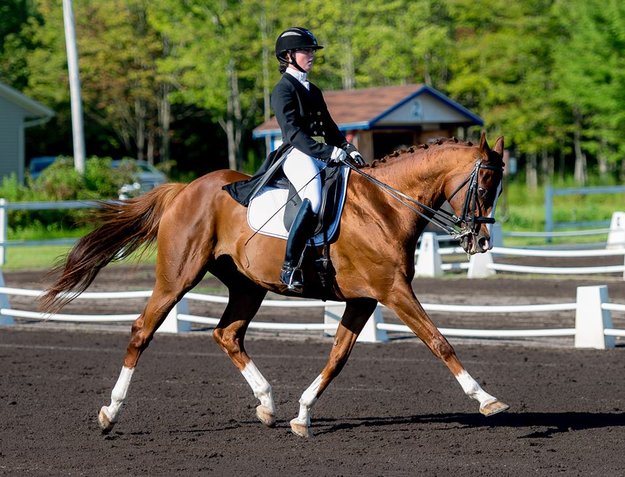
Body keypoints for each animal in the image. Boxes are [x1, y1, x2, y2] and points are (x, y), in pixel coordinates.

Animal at [40, 130, 508, 436]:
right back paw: (110, 413)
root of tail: (184, 189)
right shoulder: (392, 291)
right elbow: (439, 342)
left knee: (227, 334)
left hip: (248, 286)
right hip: (177, 278)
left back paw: (266, 404)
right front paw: (486, 400)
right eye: (485, 186)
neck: (385, 205)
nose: (481, 241)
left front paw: (301, 415)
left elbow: (337, 358)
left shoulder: (364, 300)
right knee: (142, 331)